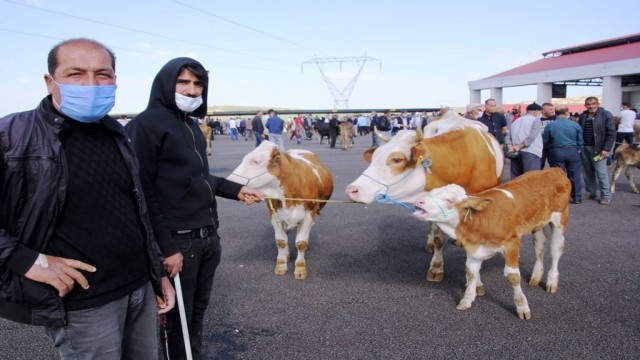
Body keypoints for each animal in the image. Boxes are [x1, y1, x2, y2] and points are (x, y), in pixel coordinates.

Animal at [226, 140, 336, 278]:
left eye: (256, 161)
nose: (228, 180)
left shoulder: (309, 215)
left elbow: (301, 243)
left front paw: (300, 268)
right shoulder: (274, 215)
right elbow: (281, 241)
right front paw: (281, 264)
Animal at [344, 112, 504, 282]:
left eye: (397, 159)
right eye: (374, 157)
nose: (352, 190)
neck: (462, 160)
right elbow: (439, 239)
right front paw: (436, 267)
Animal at [412, 167, 572, 320]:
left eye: (449, 200)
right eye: (431, 193)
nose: (418, 201)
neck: (481, 220)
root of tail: (555, 170)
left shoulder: (511, 244)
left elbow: (513, 276)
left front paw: (522, 307)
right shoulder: (474, 249)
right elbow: (471, 273)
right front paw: (467, 300)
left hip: (560, 219)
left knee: (556, 249)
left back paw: (551, 282)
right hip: (537, 224)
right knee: (540, 244)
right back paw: (536, 276)